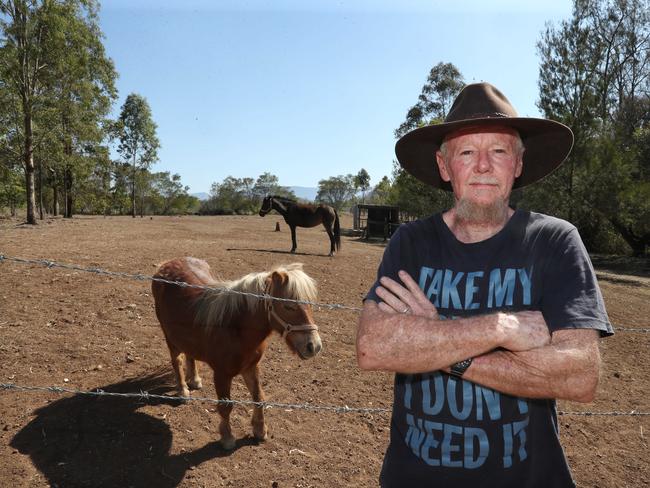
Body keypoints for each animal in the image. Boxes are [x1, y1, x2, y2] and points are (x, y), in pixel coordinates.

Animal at [153, 260, 324, 450]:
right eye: (288, 306)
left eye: (310, 304)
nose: (314, 346)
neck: (235, 327)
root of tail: (166, 264)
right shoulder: (221, 374)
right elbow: (226, 406)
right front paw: (227, 438)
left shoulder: (251, 367)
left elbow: (259, 398)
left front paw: (260, 430)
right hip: (169, 336)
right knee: (177, 361)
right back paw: (183, 391)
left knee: (190, 356)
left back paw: (195, 381)